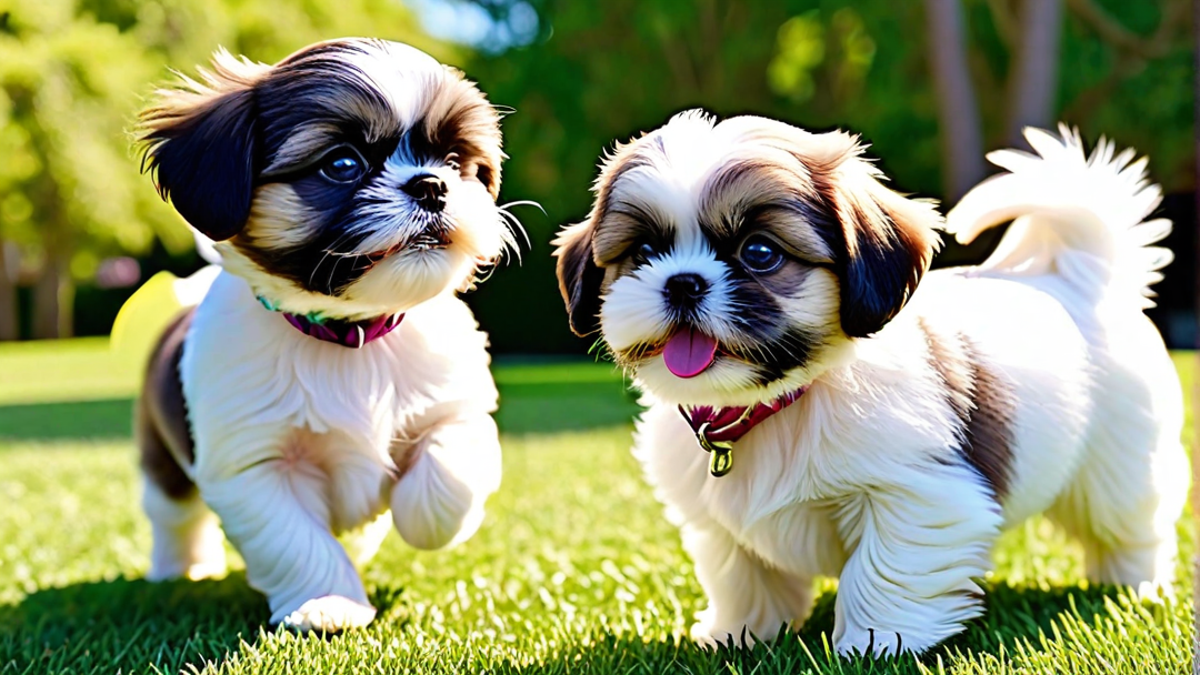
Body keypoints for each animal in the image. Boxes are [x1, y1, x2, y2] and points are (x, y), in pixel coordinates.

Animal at [135, 39, 516, 629]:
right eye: (342, 164)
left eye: (455, 163)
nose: (431, 184)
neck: (351, 334)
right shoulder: (255, 464)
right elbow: (297, 541)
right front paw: (328, 604)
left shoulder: (456, 408)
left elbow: (446, 476)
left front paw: (414, 517)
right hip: (163, 461)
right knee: (173, 514)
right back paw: (181, 569)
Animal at [554, 112, 1190, 653]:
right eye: (643, 251)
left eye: (759, 252)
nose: (682, 281)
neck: (779, 402)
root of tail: (1078, 276)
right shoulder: (721, 526)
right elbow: (743, 576)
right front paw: (740, 634)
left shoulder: (918, 494)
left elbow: (884, 567)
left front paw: (874, 642)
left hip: (1120, 465)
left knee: (1130, 524)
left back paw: (1131, 586)